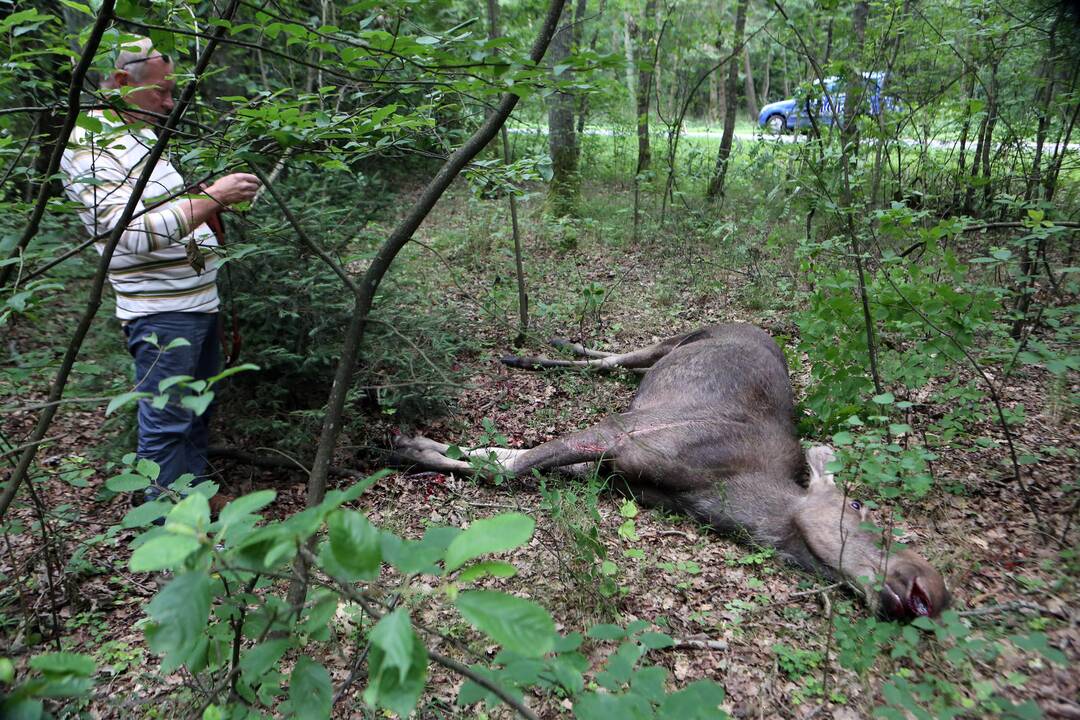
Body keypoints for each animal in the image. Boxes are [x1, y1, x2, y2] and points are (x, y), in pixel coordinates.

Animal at [393, 321, 950, 621]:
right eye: (858, 504)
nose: (934, 589)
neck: (720, 491)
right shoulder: (622, 433)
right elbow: (511, 465)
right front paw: (408, 445)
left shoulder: (610, 469)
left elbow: (503, 458)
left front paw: (420, 445)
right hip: (681, 339)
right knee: (614, 359)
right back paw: (535, 352)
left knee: (619, 362)